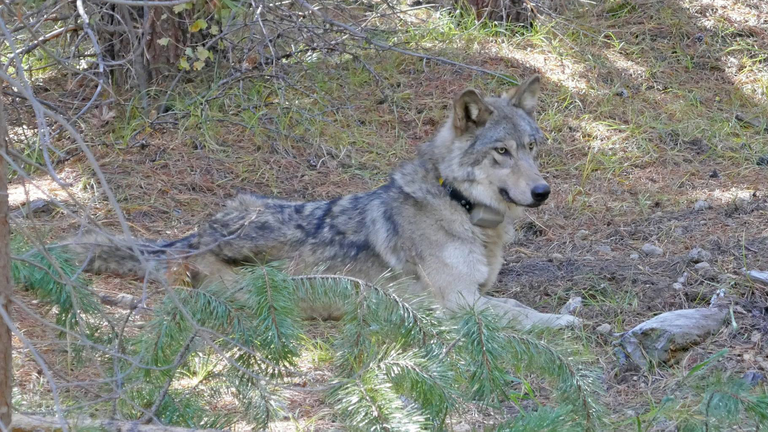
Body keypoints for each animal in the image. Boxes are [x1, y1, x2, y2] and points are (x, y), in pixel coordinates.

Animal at [72, 76, 580, 330]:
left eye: (532, 147)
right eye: (502, 152)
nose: (543, 192)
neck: (462, 208)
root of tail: (195, 234)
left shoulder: (477, 291)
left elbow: (512, 301)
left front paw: (567, 309)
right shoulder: (458, 302)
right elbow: (519, 313)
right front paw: (561, 321)